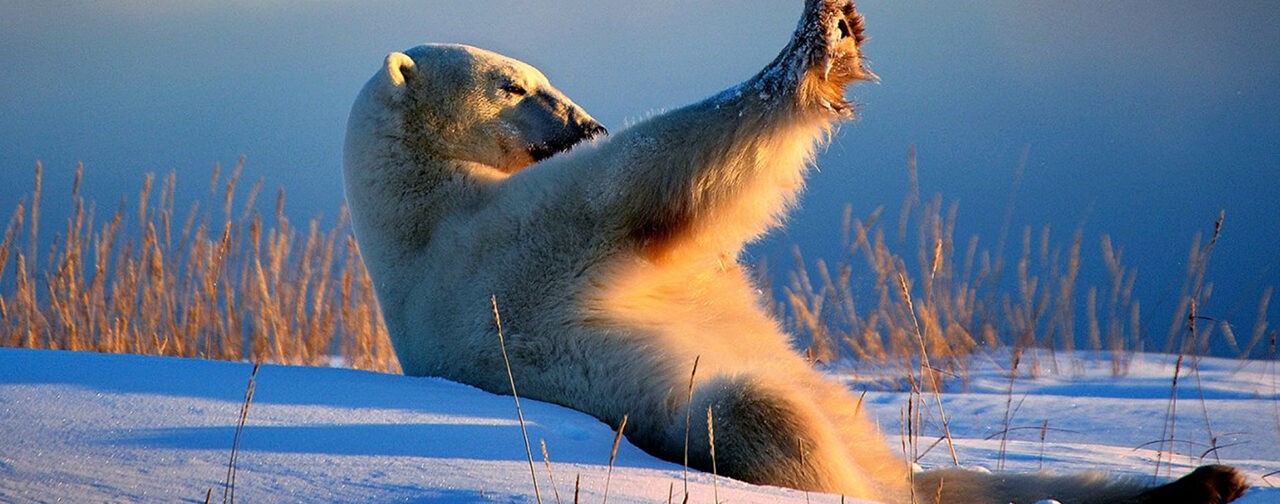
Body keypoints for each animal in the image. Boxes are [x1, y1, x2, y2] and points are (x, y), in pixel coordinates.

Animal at [343, 0, 1249, 504]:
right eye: (512, 84)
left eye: (533, 74)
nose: (584, 123)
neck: (414, 214)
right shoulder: (496, 249)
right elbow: (645, 179)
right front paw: (823, 40)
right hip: (724, 419)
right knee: (765, 417)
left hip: (877, 436)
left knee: (982, 479)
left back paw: (1202, 483)